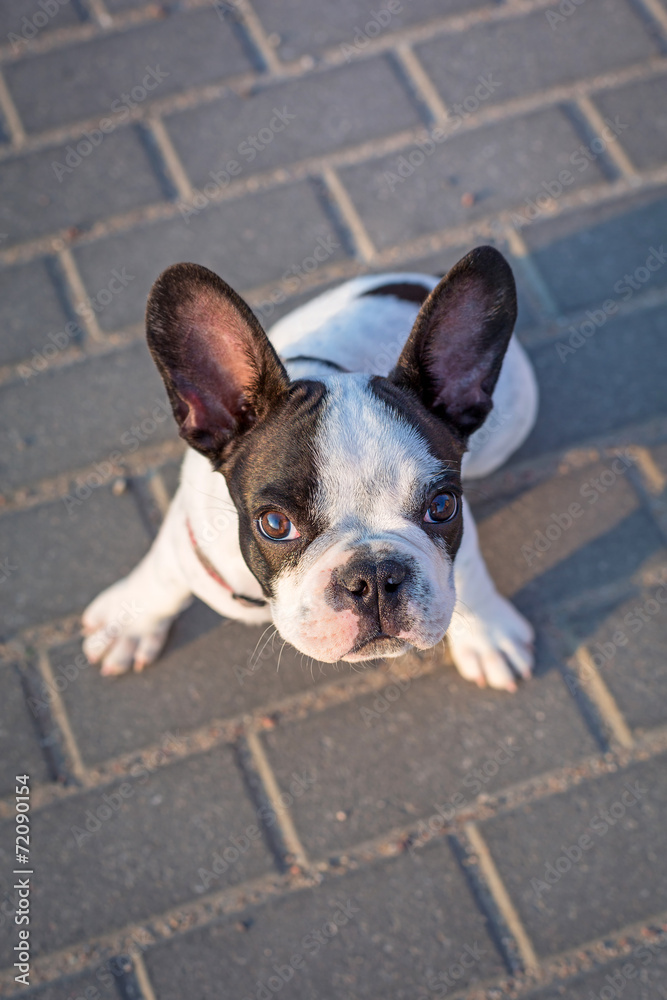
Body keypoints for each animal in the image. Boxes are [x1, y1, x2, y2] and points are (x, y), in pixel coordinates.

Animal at [83, 246, 540, 692]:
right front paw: (129, 622)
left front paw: (487, 635)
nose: (375, 576)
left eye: (442, 507)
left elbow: (470, 571)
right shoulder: (192, 537)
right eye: (274, 524)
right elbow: (165, 575)